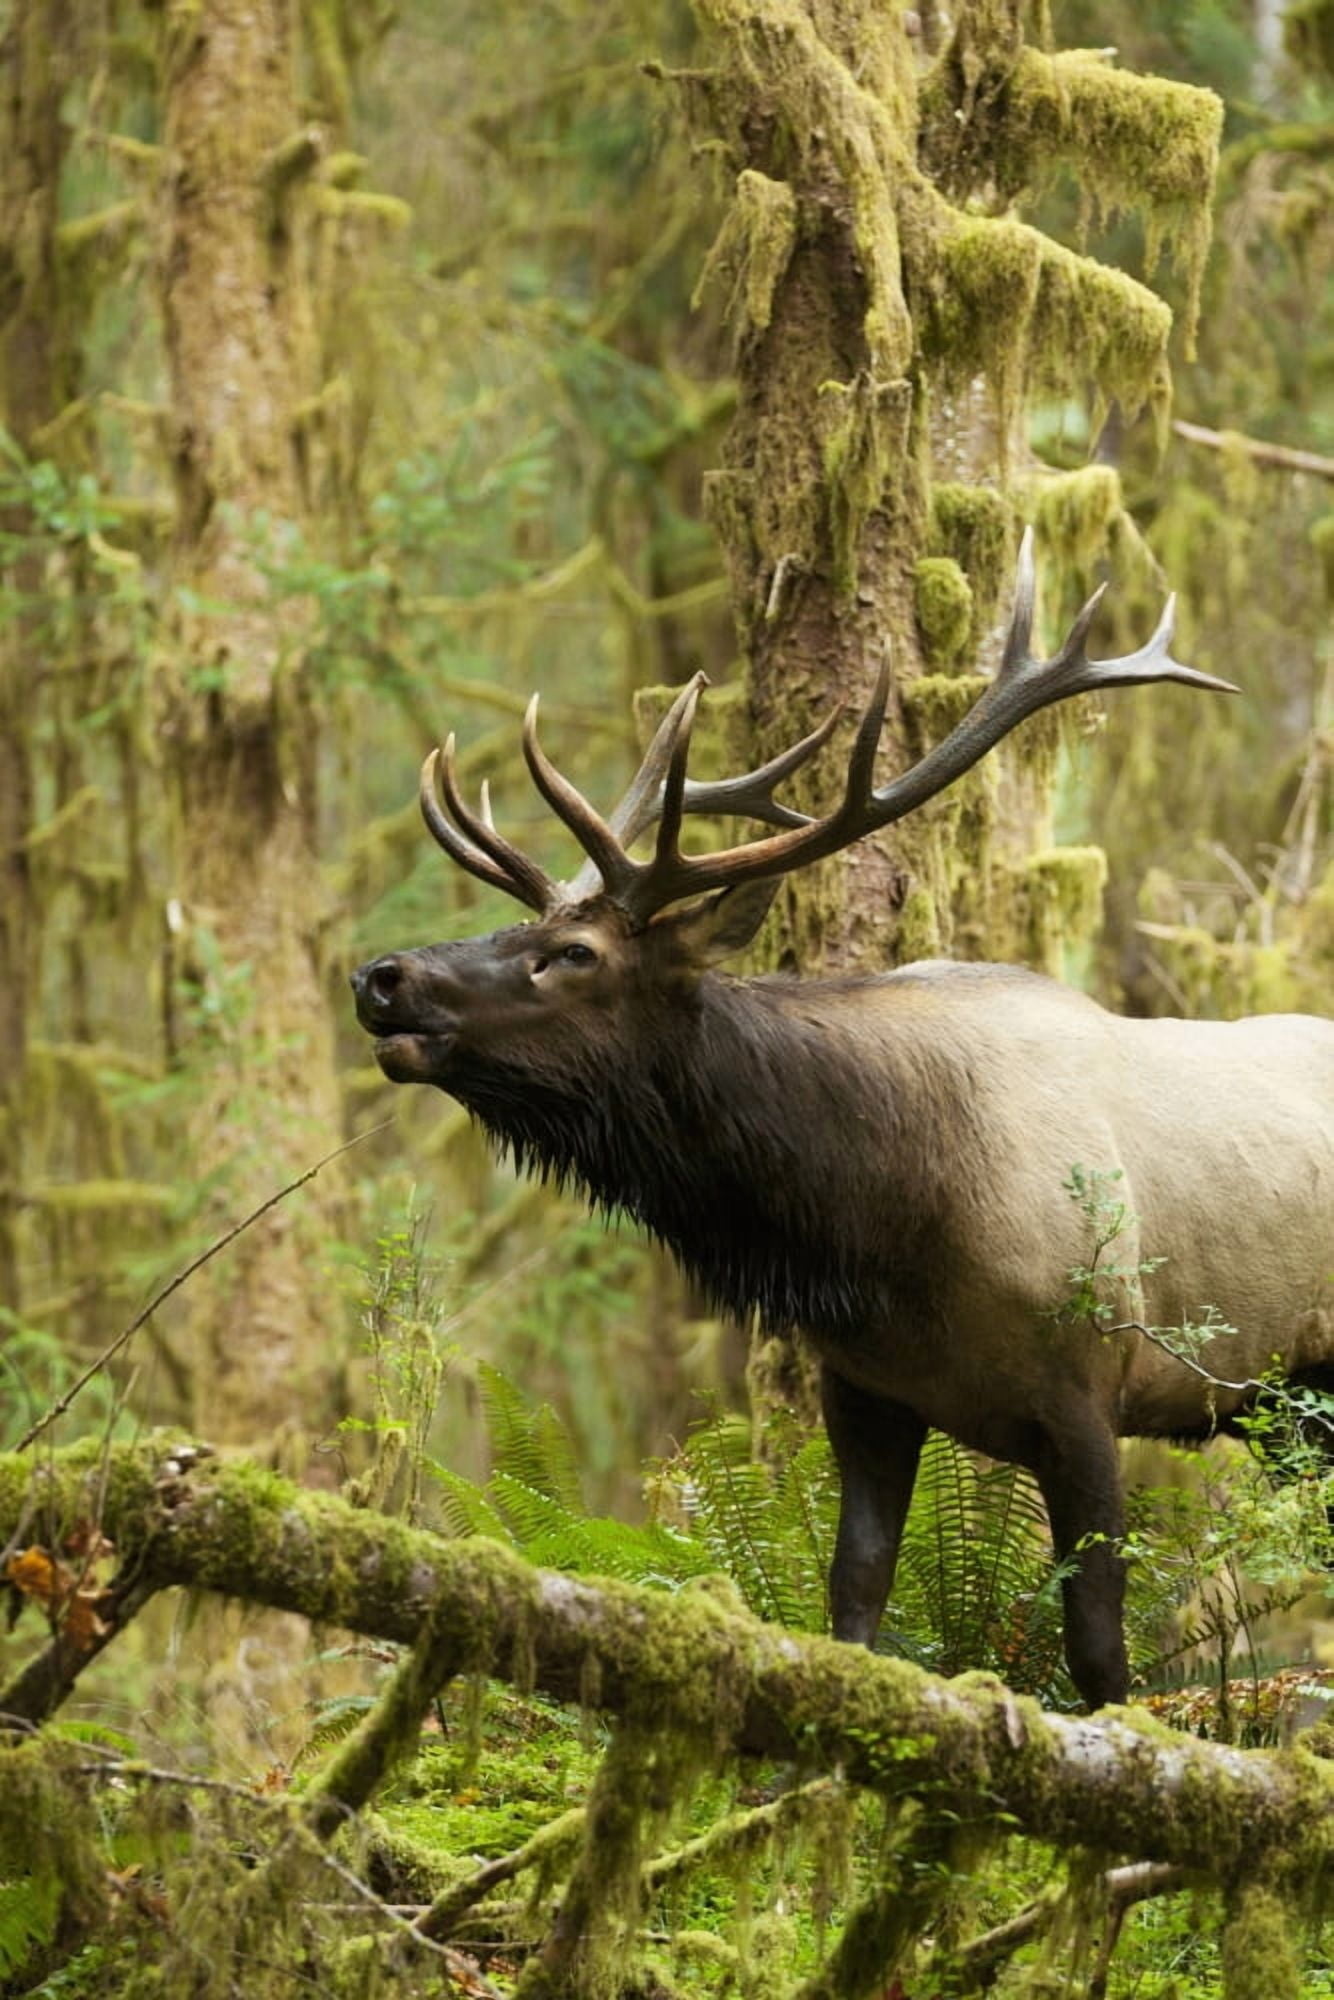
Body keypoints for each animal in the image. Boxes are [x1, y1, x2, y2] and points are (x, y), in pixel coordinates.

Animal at [351, 533, 1334, 1709]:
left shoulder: (1091, 1385)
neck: (879, 1223)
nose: (382, 976)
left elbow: (1099, 1649)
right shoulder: (865, 1386)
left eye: (574, 952)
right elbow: (852, 1595)